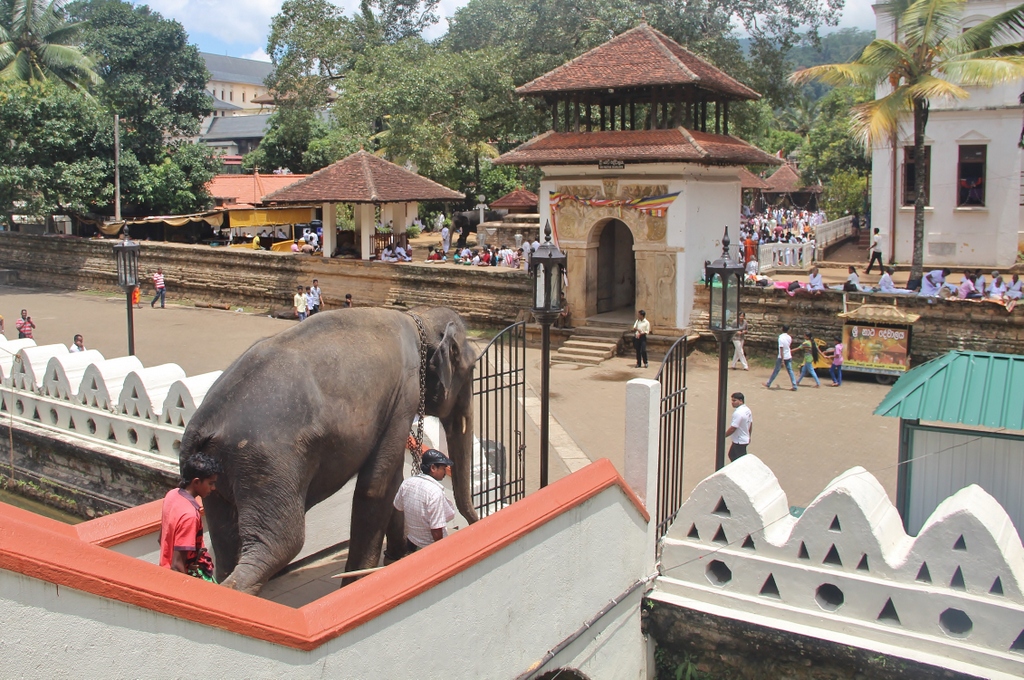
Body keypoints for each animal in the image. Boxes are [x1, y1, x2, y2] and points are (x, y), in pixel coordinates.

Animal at [179, 305, 479, 593]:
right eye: (472, 369)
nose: (473, 523)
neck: (418, 318)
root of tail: (202, 423)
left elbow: (393, 482)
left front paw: (397, 557)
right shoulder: (404, 396)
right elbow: (376, 485)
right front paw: (358, 581)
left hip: (220, 478)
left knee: (227, 543)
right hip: (267, 465)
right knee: (281, 543)